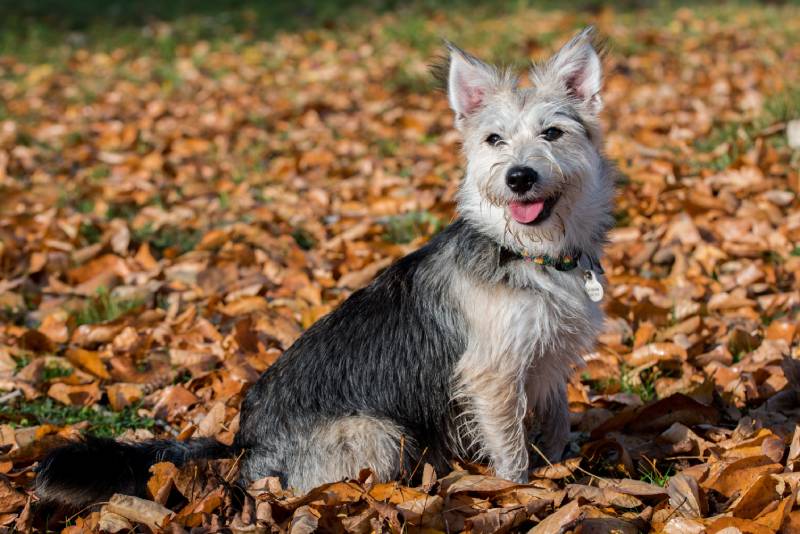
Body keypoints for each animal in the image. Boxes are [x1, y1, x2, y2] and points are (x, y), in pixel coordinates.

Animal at [34, 27, 616, 512]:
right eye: (495, 140)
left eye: (552, 133)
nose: (519, 177)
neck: (527, 252)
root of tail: (242, 446)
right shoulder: (493, 377)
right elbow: (512, 454)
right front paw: (523, 493)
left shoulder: (547, 364)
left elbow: (555, 426)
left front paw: (563, 471)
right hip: (381, 434)